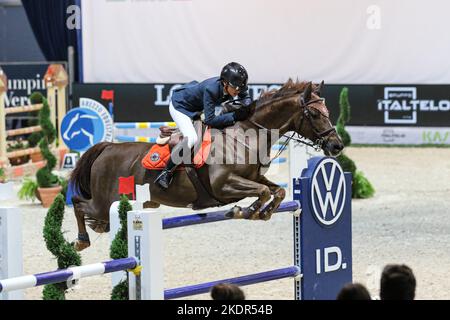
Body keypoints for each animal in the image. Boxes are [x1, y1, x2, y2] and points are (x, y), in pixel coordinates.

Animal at [71, 80, 344, 250]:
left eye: (328, 111)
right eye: (315, 114)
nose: (337, 146)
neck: (245, 135)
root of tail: (107, 148)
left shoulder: (254, 177)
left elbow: (277, 191)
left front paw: (262, 212)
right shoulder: (223, 186)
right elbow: (263, 191)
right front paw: (245, 211)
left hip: (137, 204)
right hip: (104, 204)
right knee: (79, 203)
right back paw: (81, 241)